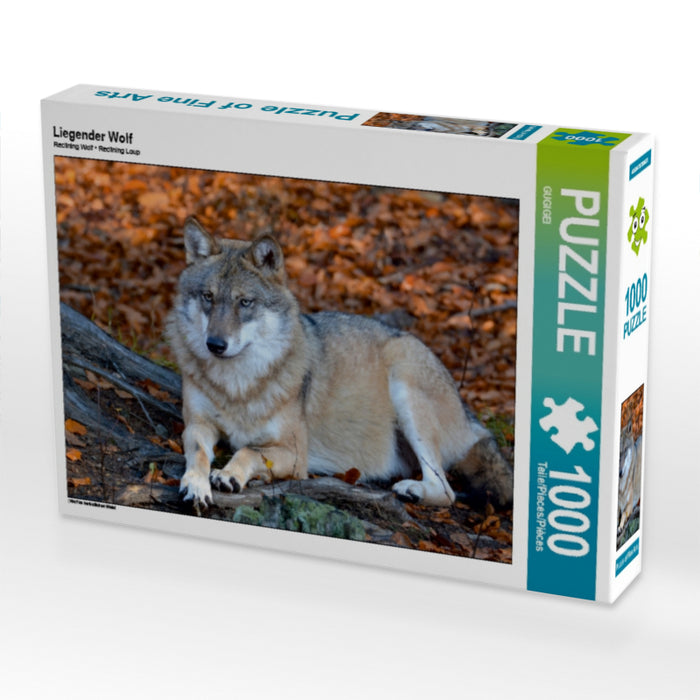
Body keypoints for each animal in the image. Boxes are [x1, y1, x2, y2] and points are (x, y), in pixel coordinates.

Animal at [167, 217, 513, 513]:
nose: (215, 345)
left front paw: (228, 475)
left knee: (447, 491)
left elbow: (247, 450)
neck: (237, 385)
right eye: (208, 297)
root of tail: (468, 414)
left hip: (405, 381)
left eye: (245, 302)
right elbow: (198, 453)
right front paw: (196, 484)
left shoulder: (296, 454)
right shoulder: (197, 424)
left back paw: (411, 490)